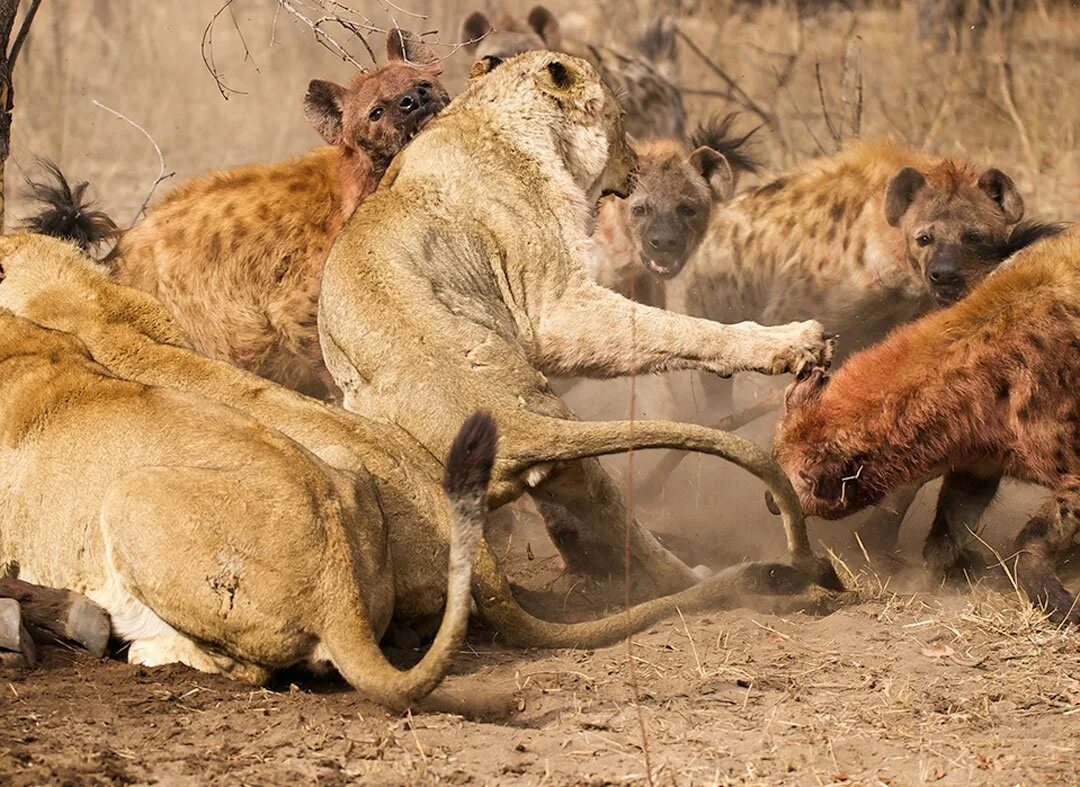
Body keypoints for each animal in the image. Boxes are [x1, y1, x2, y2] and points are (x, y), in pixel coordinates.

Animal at [313, 50, 833, 587]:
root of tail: (514, 422)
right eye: (621, 119)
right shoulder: (553, 307)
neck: (486, 118)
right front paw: (790, 341)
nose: (637, 165)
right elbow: (675, 328)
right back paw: (702, 578)